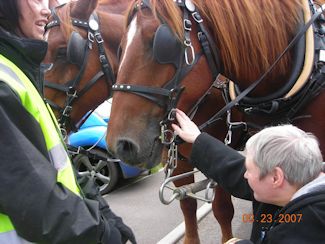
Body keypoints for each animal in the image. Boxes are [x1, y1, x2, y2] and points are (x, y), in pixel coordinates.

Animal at [107, 0, 324, 243]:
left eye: (163, 44)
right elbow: (188, 203)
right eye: (120, 48)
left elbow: (222, 207)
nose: (120, 145)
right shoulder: (179, 158)